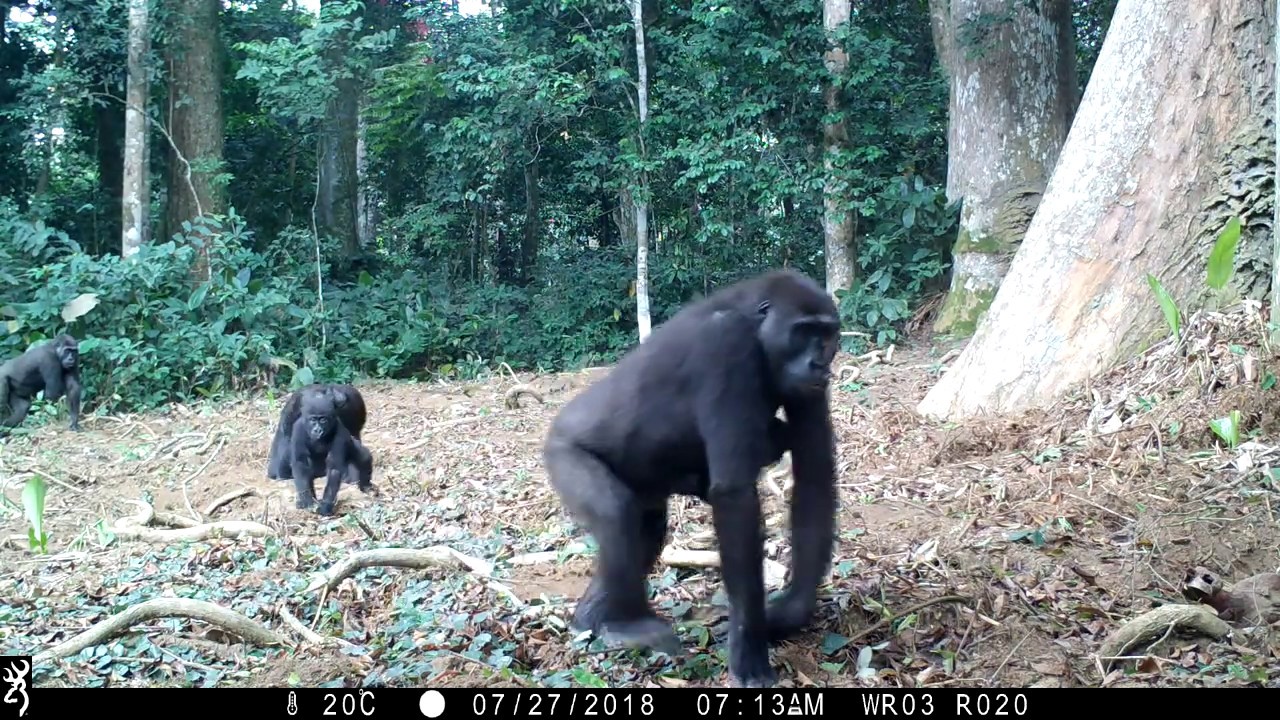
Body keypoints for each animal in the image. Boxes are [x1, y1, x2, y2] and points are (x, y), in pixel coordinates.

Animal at [540, 267, 839, 681]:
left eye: (827, 335)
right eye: (804, 331)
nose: (820, 364)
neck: (753, 322)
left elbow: (814, 473)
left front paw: (790, 612)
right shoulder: (725, 344)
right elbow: (734, 495)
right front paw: (749, 648)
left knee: (645, 530)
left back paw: (592, 618)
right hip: (562, 453)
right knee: (616, 515)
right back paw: (621, 624)